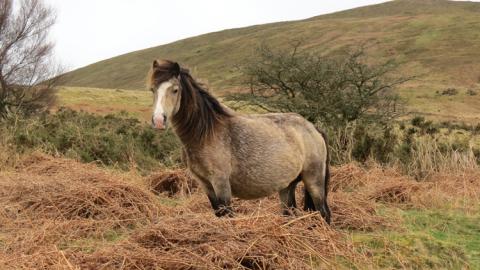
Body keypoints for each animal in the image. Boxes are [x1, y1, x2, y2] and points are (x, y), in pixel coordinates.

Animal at [148, 59, 332, 224]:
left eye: (175, 90)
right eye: (153, 90)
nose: (158, 120)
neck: (206, 134)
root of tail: (313, 128)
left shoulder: (221, 183)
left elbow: (228, 216)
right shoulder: (206, 185)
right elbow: (219, 215)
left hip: (314, 181)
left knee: (324, 213)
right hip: (287, 186)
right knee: (290, 213)